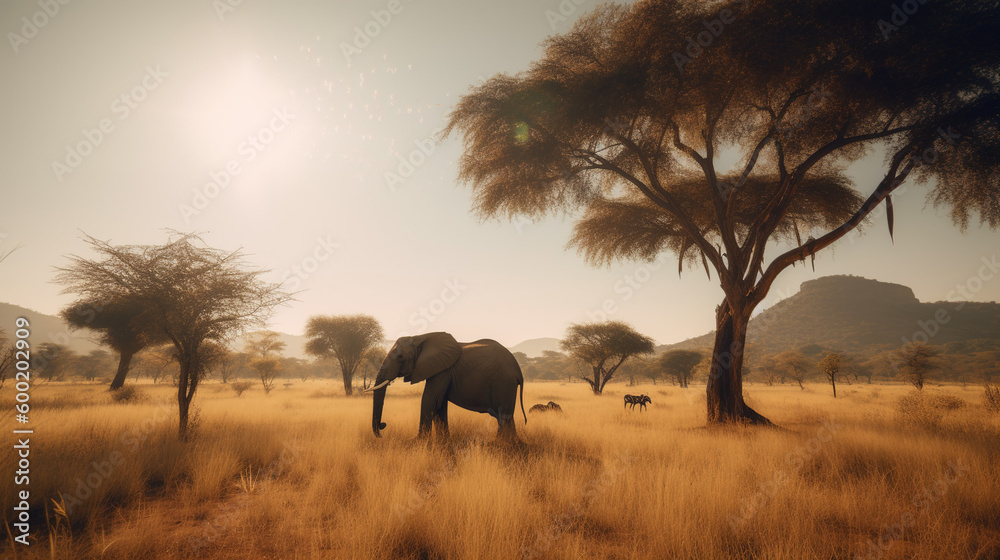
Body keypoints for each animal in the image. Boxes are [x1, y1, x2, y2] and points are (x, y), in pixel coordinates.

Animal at [367, 332, 526, 442]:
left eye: (400, 357)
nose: (383, 425)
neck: (420, 337)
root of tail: (518, 371)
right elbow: (439, 404)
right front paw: (443, 441)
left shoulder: (442, 370)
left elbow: (430, 400)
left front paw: (418, 442)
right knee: (506, 416)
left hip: (503, 382)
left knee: (503, 414)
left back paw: (501, 444)